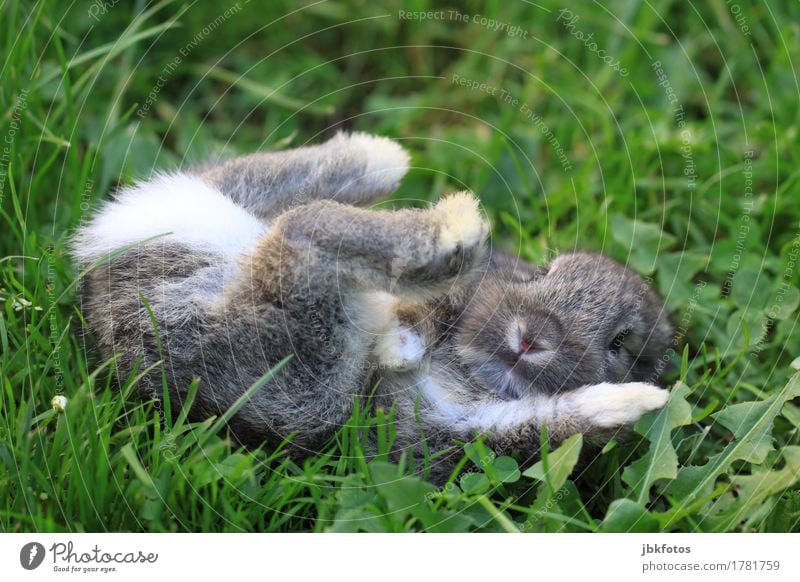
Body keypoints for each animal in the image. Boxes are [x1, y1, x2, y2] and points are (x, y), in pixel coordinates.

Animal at [72, 132, 676, 484]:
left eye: (620, 345)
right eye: (540, 273)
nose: (530, 338)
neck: (471, 375)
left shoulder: (465, 434)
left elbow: (556, 420)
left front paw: (642, 401)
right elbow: (418, 317)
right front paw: (399, 346)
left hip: (291, 362)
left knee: (296, 222)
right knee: (304, 220)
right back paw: (424, 192)